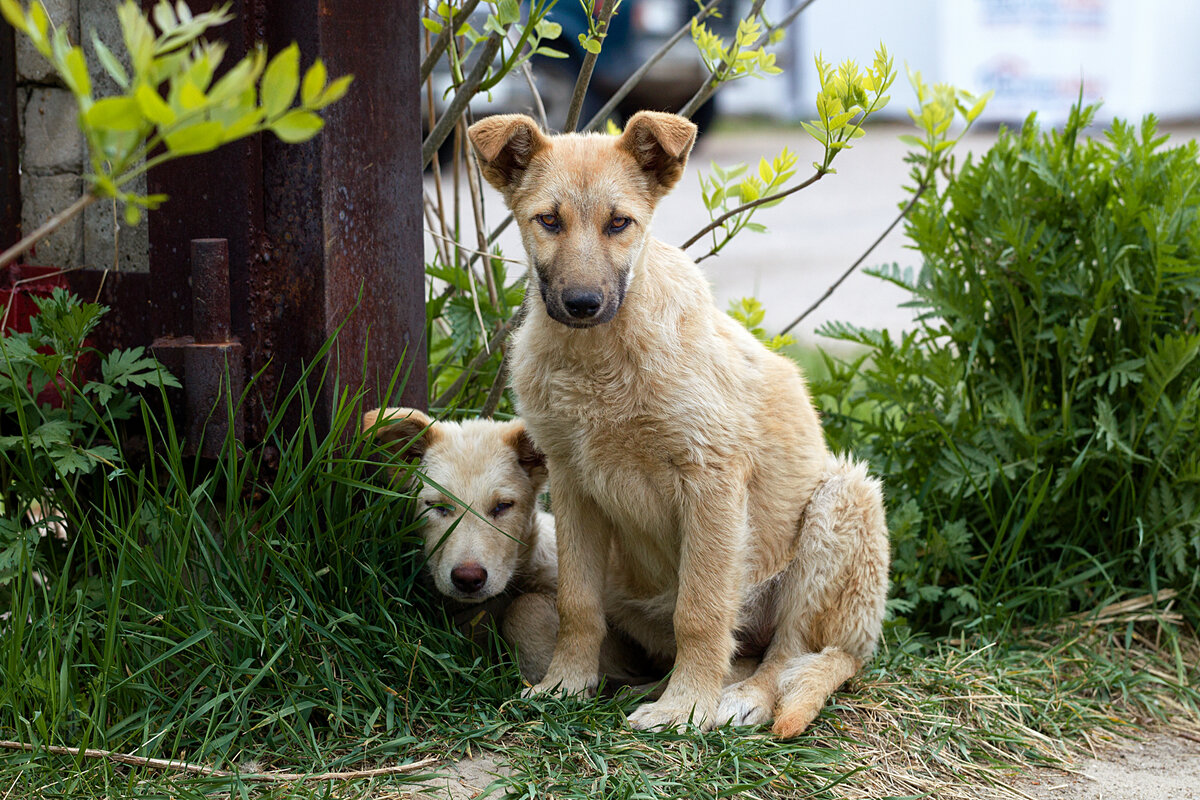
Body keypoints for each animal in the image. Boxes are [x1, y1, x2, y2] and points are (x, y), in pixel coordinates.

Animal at [468, 110, 892, 738]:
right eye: (548, 221)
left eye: (619, 223)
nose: (583, 303)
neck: (601, 357)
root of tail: (860, 642)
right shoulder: (571, 483)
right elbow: (576, 603)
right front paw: (564, 686)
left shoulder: (711, 480)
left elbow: (701, 609)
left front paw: (685, 710)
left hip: (843, 503)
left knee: (791, 652)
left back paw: (740, 700)